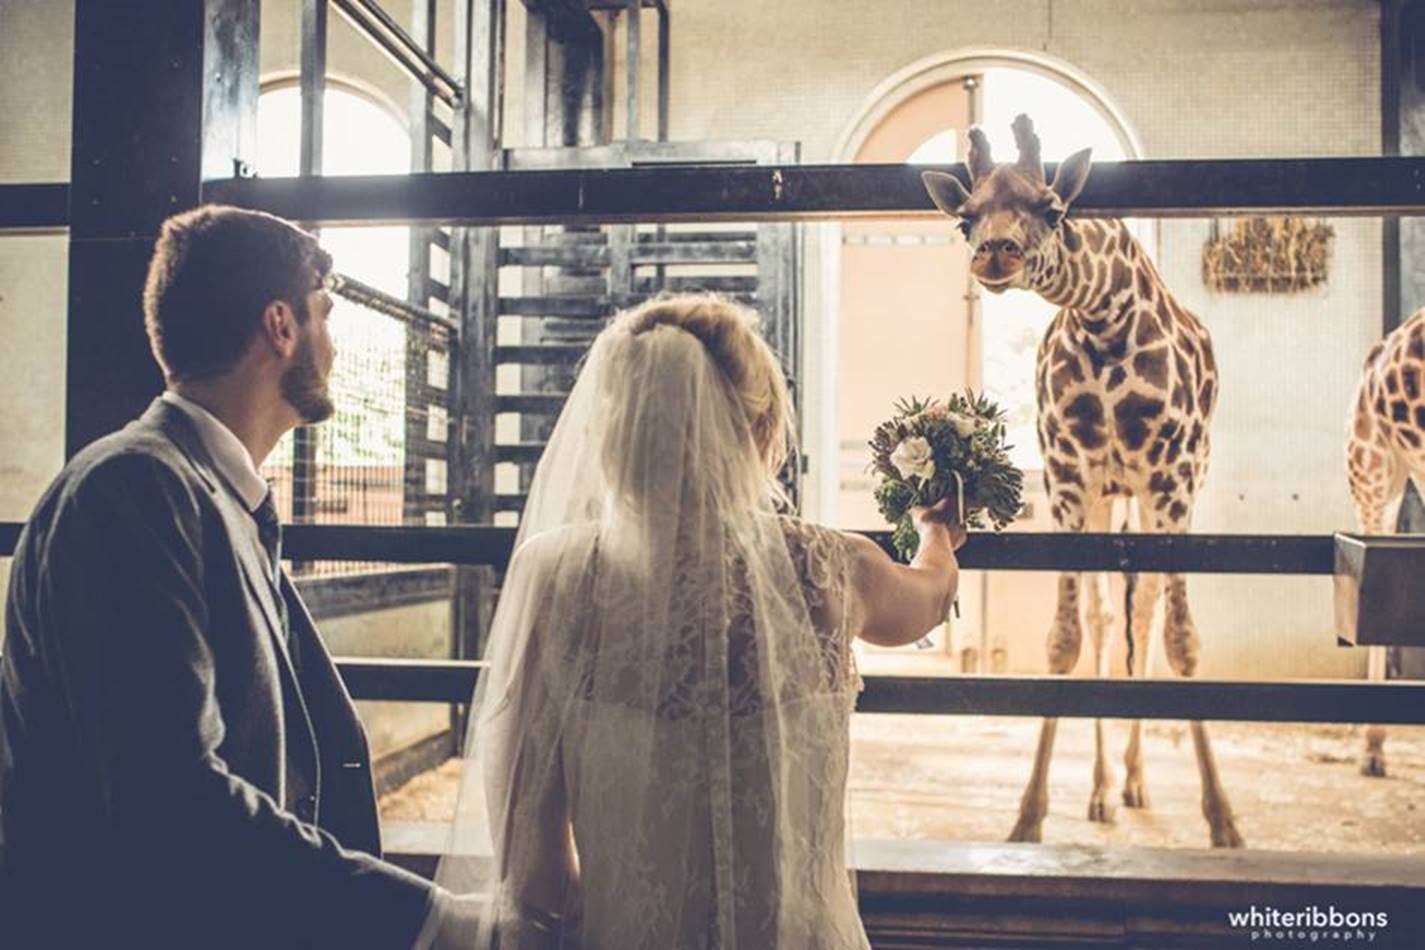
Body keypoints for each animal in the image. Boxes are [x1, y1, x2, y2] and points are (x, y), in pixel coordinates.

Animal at [923, 113, 1236, 848]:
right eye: (966, 218)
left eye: (1051, 207)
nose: (995, 253)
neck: (1103, 319)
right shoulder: (1069, 480)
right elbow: (1065, 639)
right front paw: (1028, 815)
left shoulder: (1171, 479)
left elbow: (1182, 641)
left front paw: (1222, 821)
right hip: (1104, 498)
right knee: (1104, 616)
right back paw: (1100, 789)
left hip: (1153, 494)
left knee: (1142, 609)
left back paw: (1134, 781)